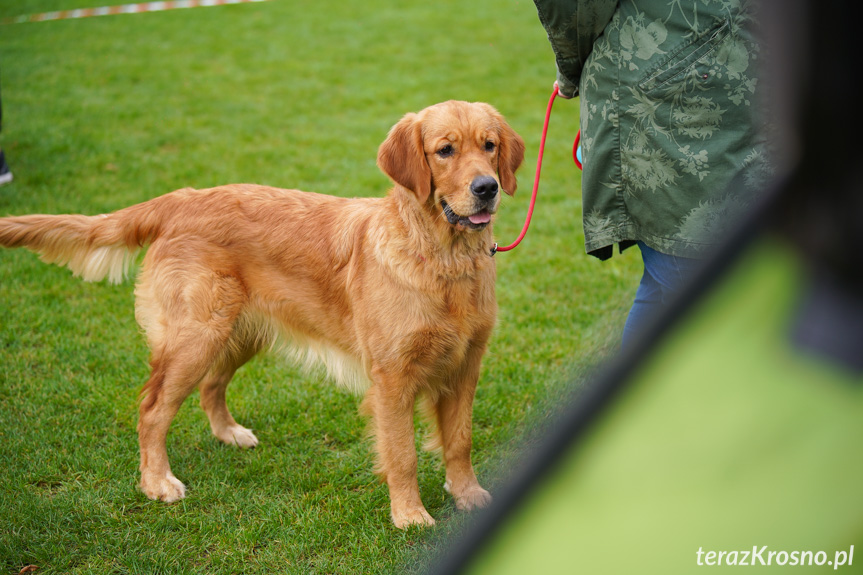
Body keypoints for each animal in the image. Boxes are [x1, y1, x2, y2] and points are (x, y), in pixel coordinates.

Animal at [0, 101, 528, 528]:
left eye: (489, 145)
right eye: (445, 150)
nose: (487, 187)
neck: (443, 259)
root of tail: (181, 197)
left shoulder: (465, 364)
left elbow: (459, 441)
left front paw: (467, 494)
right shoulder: (392, 377)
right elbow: (402, 455)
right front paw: (410, 514)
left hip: (238, 332)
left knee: (211, 387)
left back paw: (229, 434)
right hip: (197, 335)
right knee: (152, 409)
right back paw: (157, 481)